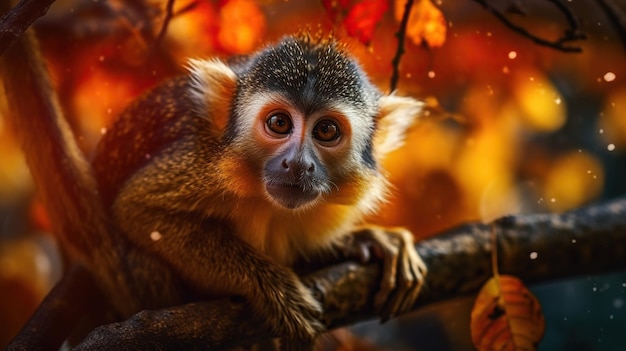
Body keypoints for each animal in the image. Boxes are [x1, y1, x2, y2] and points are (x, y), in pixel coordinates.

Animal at [1, 13, 424, 350]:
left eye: (326, 131)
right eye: (279, 123)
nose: (298, 165)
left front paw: (363, 242)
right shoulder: (204, 162)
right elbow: (139, 209)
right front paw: (270, 286)